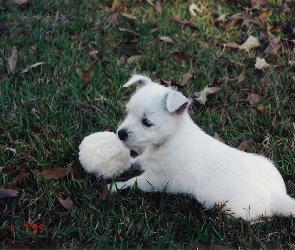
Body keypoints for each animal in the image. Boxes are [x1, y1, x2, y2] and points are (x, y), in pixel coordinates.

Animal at [110, 73, 295, 221]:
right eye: (128, 112)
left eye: (147, 122)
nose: (120, 133)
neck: (171, 138)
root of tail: (277, 196)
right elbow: (136, 161)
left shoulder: (155, 180)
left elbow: (133, 182)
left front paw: (113, 187)